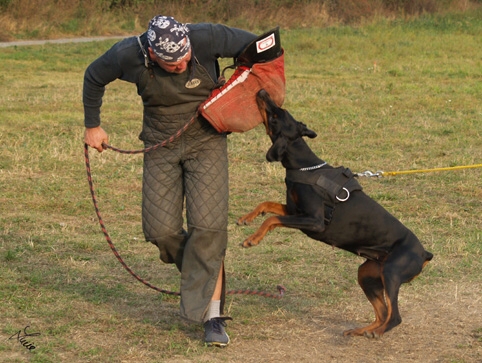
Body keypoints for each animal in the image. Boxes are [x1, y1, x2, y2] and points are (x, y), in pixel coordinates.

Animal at [237, 89, 434, 340]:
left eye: (275, 116)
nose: (262, 92)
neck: (303, 165)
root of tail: (424, 253)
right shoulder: (295, 210)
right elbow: (268, 205)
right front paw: (246, 218)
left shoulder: (314, 221)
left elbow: (273, 218)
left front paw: (252, 239)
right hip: (367, 273)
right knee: (381, 312)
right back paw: (361, 330)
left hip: (392, 271)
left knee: (394, 316)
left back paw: (376, 332)